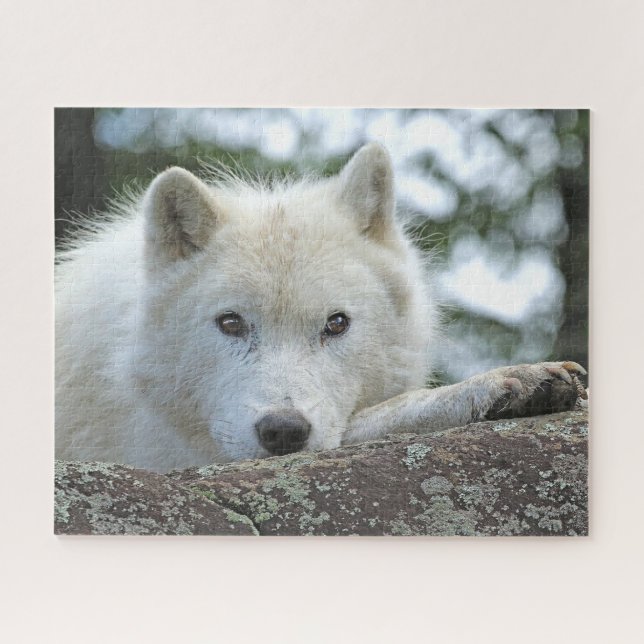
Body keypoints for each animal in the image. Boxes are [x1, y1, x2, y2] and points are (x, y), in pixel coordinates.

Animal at [55, 143, 585, 473]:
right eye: (230, 322)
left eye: (336, 324)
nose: (283, 432)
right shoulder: (169, 453)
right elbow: (377, 417)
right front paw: (497, 385)